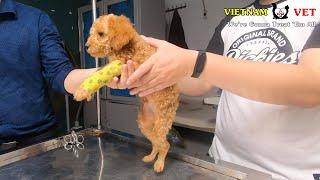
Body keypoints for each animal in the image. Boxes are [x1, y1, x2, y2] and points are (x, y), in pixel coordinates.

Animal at [79, 14, 179, 172]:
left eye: (100, 34)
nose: (86, 46)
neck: (124, 48)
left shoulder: (123, 66)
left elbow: (98, 75)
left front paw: (82, 91)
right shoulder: (113, 68)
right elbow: (97, 73)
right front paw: (86, 91)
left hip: (162, 122)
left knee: (165, 145)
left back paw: (159, 163)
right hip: (145, 125)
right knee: (156, 143)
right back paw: (151, 157)